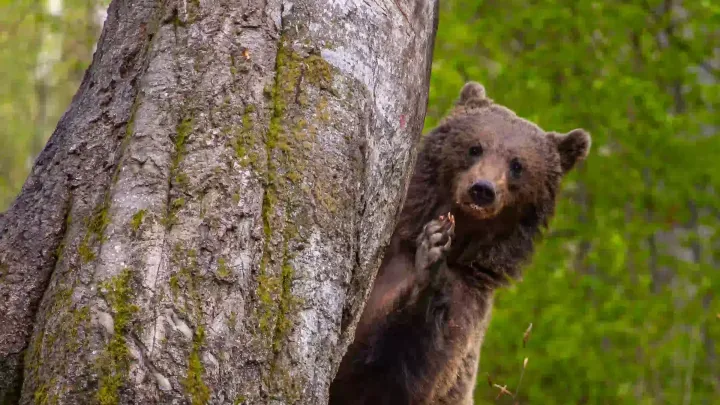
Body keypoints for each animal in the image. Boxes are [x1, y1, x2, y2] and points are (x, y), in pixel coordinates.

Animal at [328, 82, 591, 405]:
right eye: (475, 148)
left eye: (517, 165)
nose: (482, 190)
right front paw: (433, 246)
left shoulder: (467, 303)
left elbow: (392, 377)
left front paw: (430, 265)